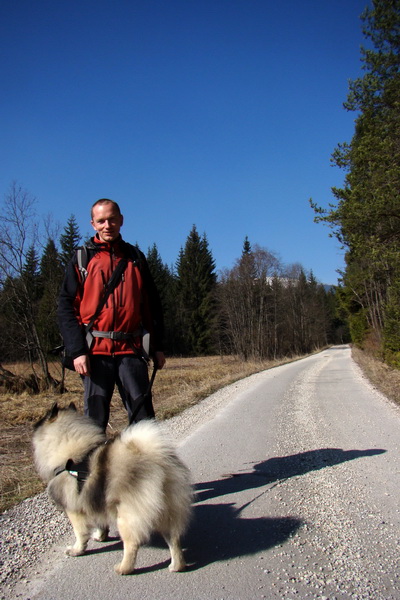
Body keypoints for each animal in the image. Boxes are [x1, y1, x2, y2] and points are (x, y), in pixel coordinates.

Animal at [32, 406, 192, 576]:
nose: (34, 425)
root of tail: (158, 464)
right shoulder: (94, 504)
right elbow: (101, 525)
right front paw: (100, 536)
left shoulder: (74, 511)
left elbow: (80, 534)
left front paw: (77, 550)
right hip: (168, 512)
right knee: (174, 540)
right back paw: (177, 566)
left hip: (126, 517)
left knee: (132, 544)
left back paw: (124, 568)